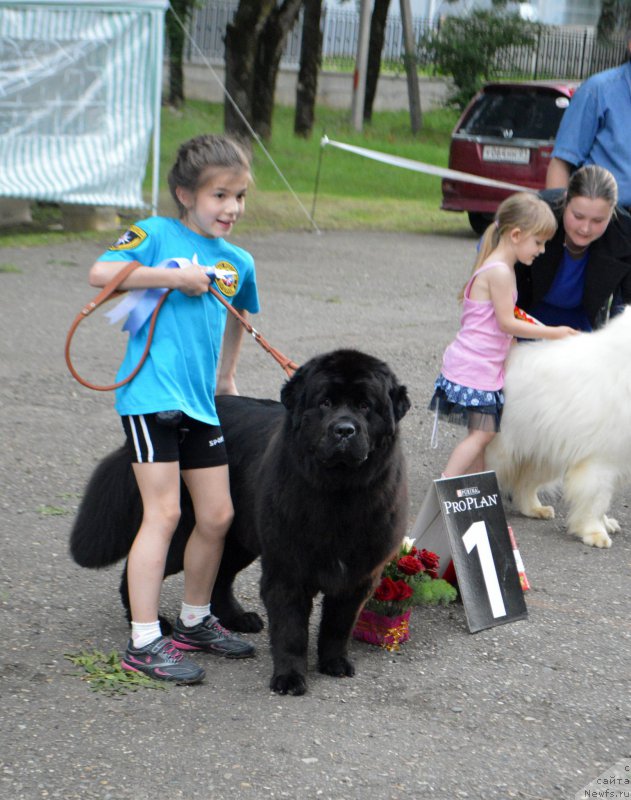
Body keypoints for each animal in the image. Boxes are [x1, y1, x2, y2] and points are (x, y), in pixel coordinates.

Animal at [70, 350, 410, 692]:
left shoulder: (359, 572)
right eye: (325, 402)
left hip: (234, 533)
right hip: (185, 528)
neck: (338, 495)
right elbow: (290, 630)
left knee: (219, 576)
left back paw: (235, 620)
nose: (344, 430)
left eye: (365, 406)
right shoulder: (286, 569)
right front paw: (289, 677)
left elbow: (338, 624)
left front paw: (334, 662)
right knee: (138, 566)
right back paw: (154, 626)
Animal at [484, 304, 631, 548]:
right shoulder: (599, 460)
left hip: (545, 452)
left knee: (525, 484)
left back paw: (535, 509)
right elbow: (595, 501)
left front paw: (604, 524)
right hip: (505, 451)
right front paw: (595, 534)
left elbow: (600, 500)